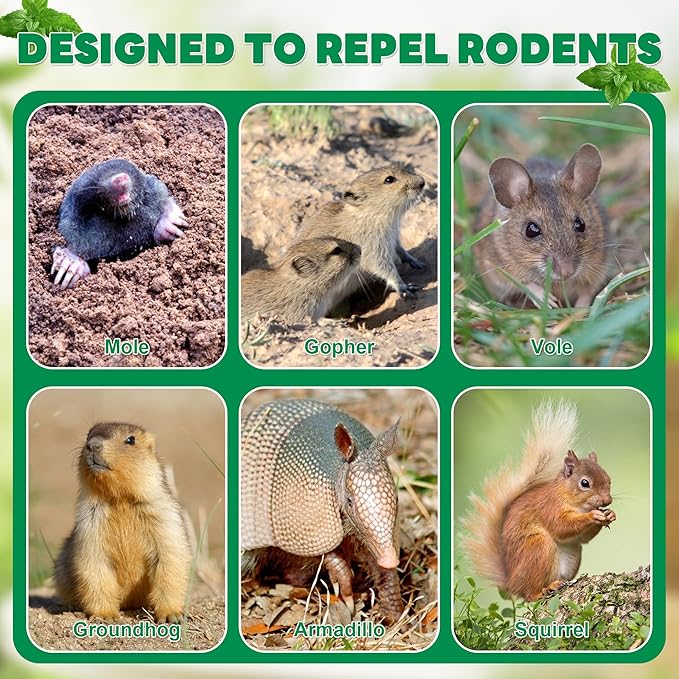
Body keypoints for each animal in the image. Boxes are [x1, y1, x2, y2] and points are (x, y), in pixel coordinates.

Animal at [54, 422, 192, 622]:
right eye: (88, 435)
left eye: (131, 440)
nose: (93, 445)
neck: (120, 498)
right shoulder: (88, 525)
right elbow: (93, 563)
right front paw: (104, 616)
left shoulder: (165, 517)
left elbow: (171, 557)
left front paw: (171, 614)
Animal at [462, 402, 616, 601]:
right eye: (584, 483)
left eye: (608, 478)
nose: (607, 500)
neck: (575, 503)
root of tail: (512, 583)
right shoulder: (549, 507)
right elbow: (561, 526)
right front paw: (594, 515)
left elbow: (583, 538)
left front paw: (609, 514)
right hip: (538, 547)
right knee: (529, 595)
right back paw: (543, 590)